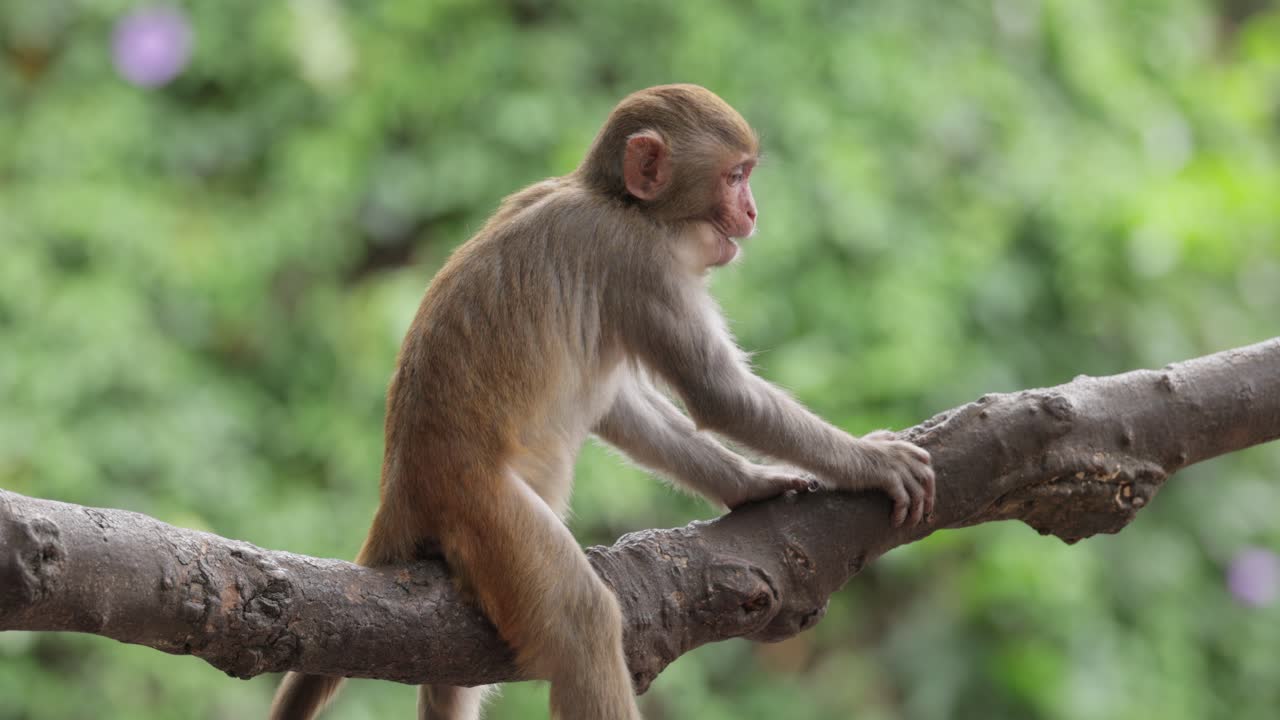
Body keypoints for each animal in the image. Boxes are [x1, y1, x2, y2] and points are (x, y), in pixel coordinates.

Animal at [270, 84, 934, 720]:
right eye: (735, 177)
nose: (752, 211)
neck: (620, 203)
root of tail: (402, 487)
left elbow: (619, 406)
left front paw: (750, 483)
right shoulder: (641, 262)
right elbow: (717, 395)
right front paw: (872, 462)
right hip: (483, 509)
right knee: (581, 619)